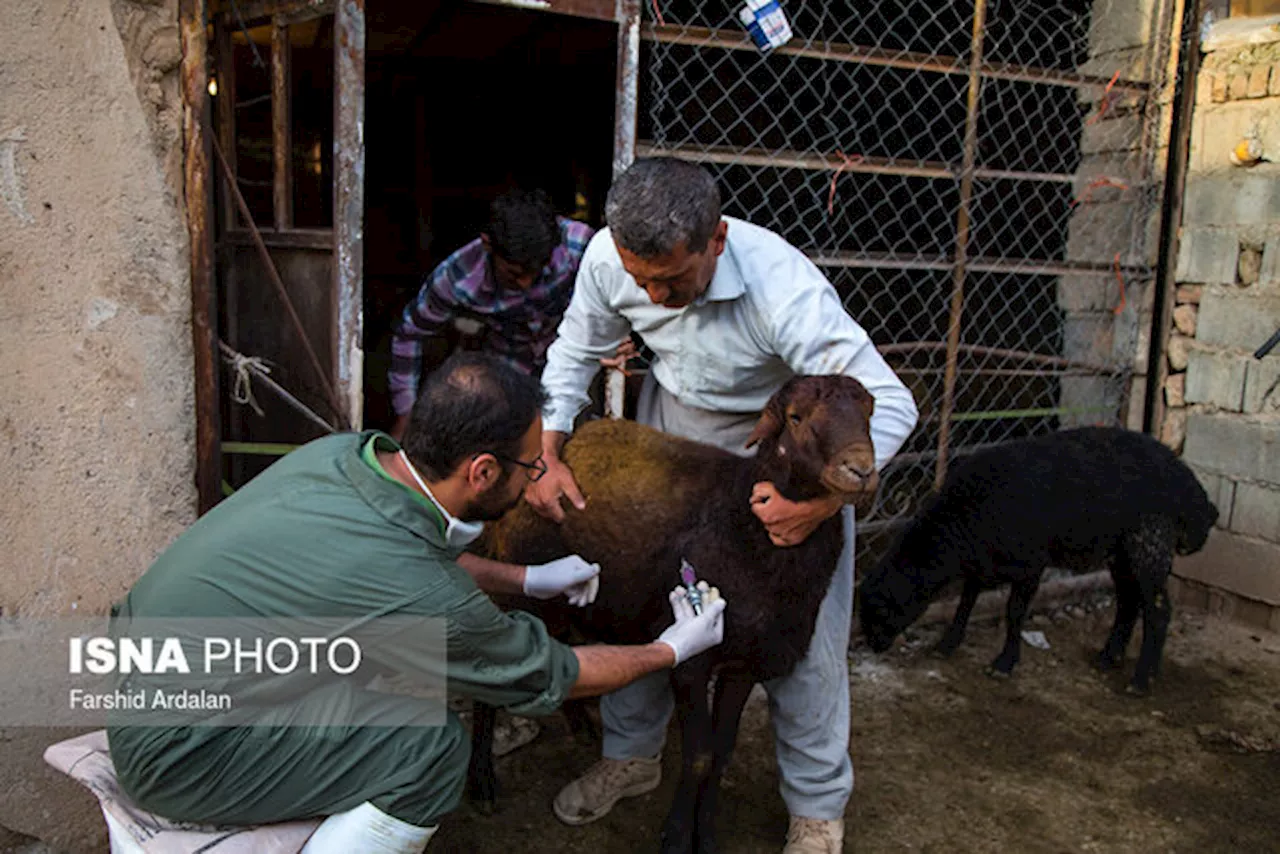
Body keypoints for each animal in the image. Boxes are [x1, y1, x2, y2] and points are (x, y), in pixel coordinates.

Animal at [855, 427, 1213, 696]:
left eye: (882, 610)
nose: (874, 645)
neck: (962, 521)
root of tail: (1196, 496)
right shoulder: (982, 560)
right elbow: (965, 602)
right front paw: (948, 643)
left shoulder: (1030, 563)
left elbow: (1013, 612)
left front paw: (1004, 663)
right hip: (1123, 549)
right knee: (1128, 602)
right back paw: (1109, 657)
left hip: (1150, 542)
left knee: (1158, 611)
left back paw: (1142, 679)